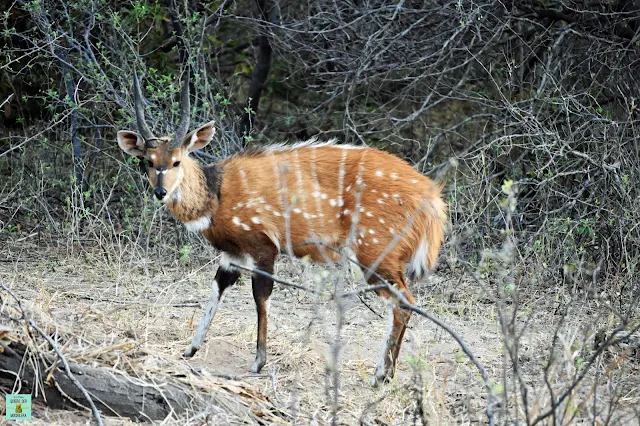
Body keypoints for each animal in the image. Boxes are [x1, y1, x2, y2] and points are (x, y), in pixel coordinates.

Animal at [115, 70, 444, 386]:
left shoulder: (263, 246)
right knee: (404, 304)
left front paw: (258, 362)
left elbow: (261, 296)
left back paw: (380, 376)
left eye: (177, 162)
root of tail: (433, 201)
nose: (160, 192)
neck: (216, 195)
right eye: (148, 161)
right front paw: (190, 348)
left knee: (404, 303)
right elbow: (217, 288)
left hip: (375, 252)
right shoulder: (232, 254)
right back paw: (386, 375)